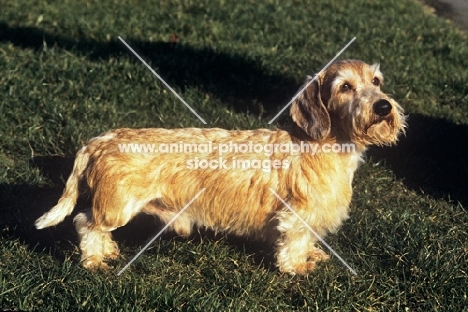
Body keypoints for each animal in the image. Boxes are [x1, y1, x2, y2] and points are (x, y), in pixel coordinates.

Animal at [35, 59, 406, 274]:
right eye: (345, 86)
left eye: (376, 81)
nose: (383, 107)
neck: (321, 144)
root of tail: (101, 140)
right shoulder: (297, 216)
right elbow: (294, 242)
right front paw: (296, 268)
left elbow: (309, 241)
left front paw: (312, 256)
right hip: (117, 207)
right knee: (85, 223)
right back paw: (95, 259)